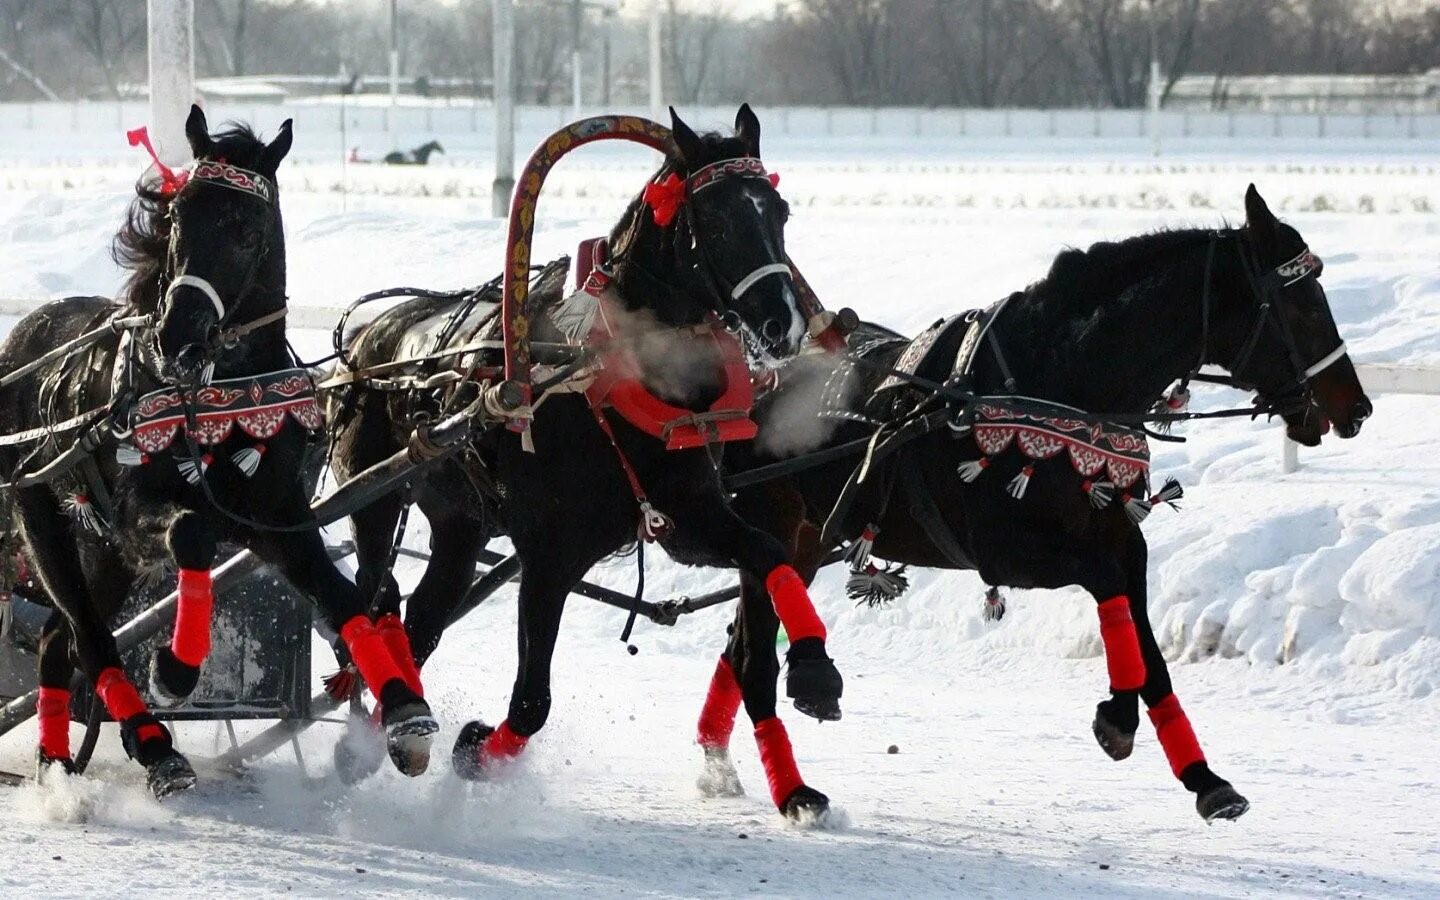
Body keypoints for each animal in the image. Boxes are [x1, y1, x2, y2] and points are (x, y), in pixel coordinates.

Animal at [1, 105, 437, 794]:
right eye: (180, 215)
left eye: (246, 227)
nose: (178, 334)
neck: (217, 394)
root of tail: (20, 342)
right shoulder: (138, 515)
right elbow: (192, 536)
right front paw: (174, 671)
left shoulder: (275, 520)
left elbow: (343, 600)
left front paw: (405, 711)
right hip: (46, 520)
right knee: (89, 638)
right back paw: (152, 746)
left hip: (102, 553)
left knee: (55, 643)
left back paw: (59, 766)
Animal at [329, 105, 840, 812]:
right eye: (716, 219)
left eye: (780, 211)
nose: (782, 322)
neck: (603, 376)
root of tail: (369, 337)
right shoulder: (549, 557)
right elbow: (531, 701)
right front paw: (474, 751)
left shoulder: (691, 517)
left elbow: (767, 556)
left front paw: (815, 668)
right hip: (375, 499)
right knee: (373, 600)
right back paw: (369, 730)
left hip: (461, 527)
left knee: (420, 618)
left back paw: (394, 729)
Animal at [696, 184, 1370, 823]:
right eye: (1302, 302)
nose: (1356, 407)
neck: (1053, 386)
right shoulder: (1012, 553)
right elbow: (1108, 593)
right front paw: (1118, 716)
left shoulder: (1121, 538)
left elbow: (1147, 644)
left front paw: (1205, 779)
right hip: (769, 532)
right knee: (752, 661)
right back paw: (794, 776)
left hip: (802, 544)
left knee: (739, 646)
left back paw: (720, 758)